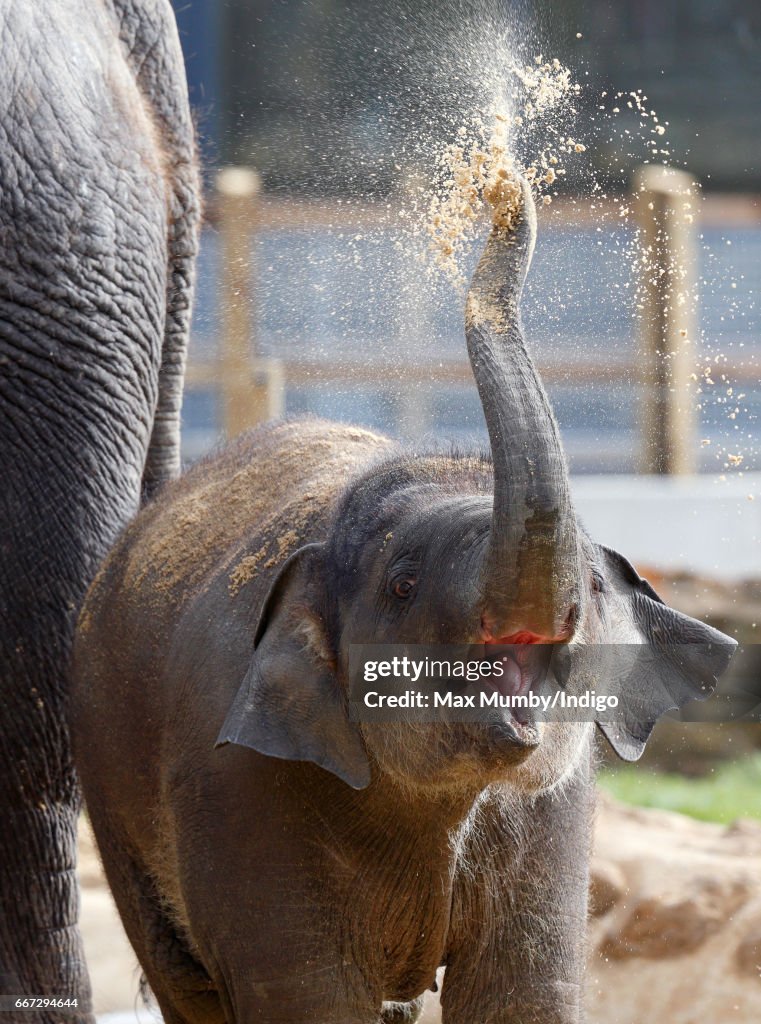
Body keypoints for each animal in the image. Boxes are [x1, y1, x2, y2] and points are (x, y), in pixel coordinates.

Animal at [74, 184, 733, 1024]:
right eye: (403, 586)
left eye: (590, 587)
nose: (502, 188)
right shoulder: (238, 781)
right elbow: (306, 996)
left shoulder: (554, 811)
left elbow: (523, 992)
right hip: (111, 786)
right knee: (183, 982)